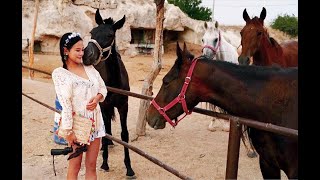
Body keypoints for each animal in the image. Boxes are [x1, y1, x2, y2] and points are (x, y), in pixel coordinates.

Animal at [82, 8, 135, 177]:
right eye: (92, 32)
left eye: (110, 35)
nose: (87, 55)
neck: (114, 81)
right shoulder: (104, 105)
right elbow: (104, 132)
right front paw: (105, 163)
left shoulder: (124, 106)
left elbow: (124, 135)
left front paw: (129, 168)